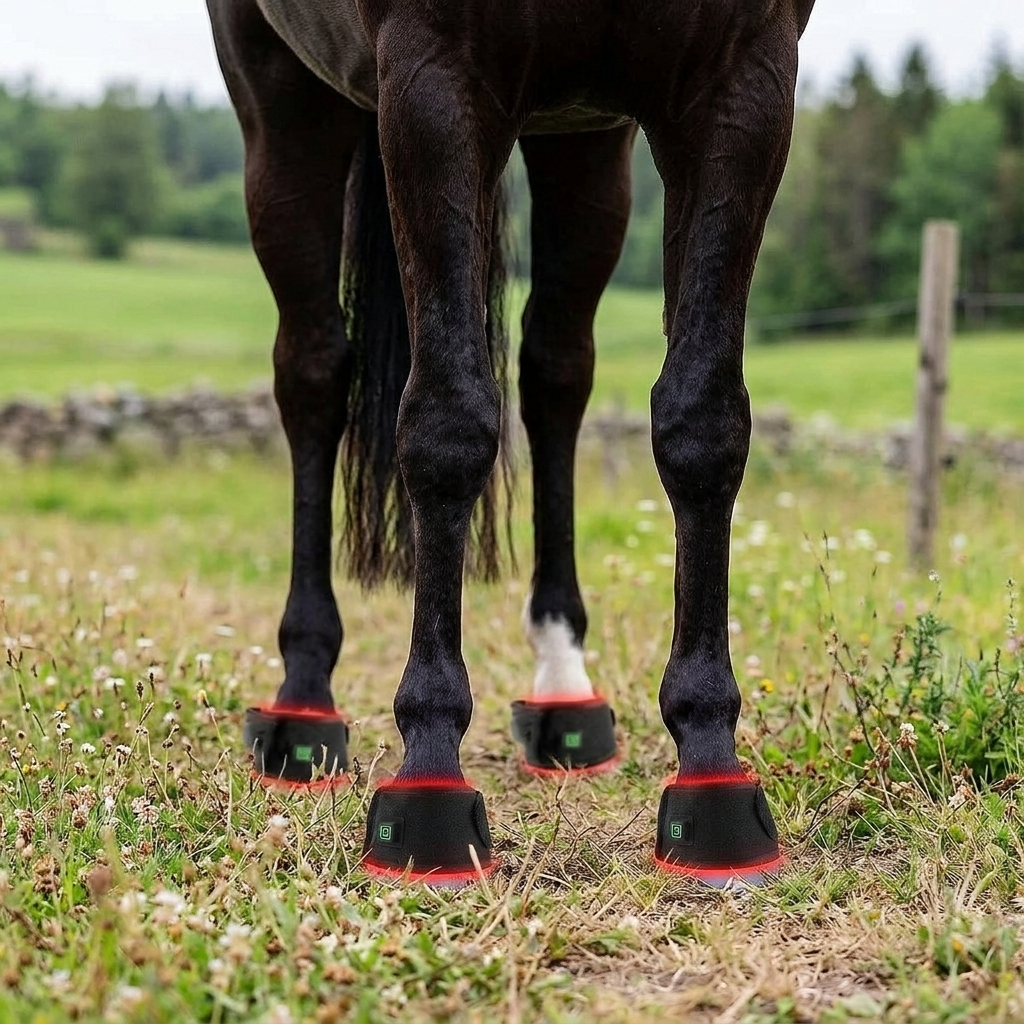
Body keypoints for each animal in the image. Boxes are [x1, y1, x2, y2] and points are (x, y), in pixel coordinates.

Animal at [207, 0, 815, 885]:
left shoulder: (745, 79)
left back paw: (564, 686)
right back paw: (303, 703)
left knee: (556, 371)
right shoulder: (432, 80)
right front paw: (428, 771)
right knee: (314, 376)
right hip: (283, 102)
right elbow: (447, 423)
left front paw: (711, 768)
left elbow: (703, 421)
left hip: (584, 139)